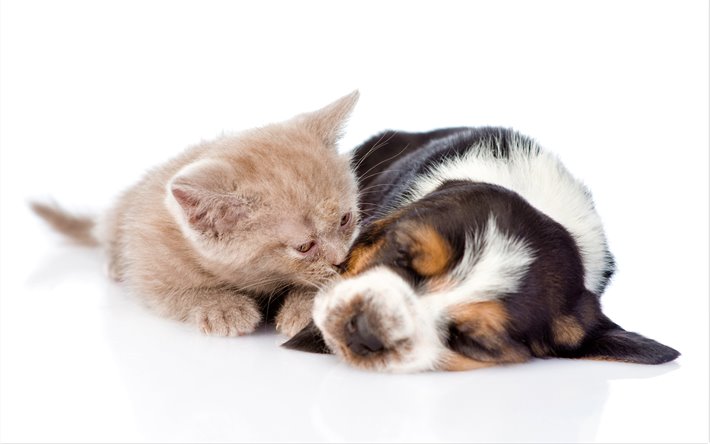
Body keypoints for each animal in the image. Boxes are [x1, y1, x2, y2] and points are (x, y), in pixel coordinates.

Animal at [32, 92, 362, 338]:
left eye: (345, 220)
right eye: (303, 246)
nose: (341, 259)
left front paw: (306, 305)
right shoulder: (149, 264)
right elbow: (176, 292)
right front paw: (222, 307)